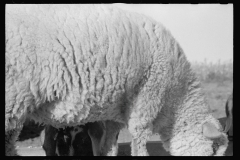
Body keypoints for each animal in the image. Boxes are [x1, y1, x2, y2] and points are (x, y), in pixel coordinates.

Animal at [5, 4, 229, 156]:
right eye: (213, 149)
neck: (176, 97)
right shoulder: (146, 100)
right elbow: (139, 142)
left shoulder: (114, 111)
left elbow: (108, 145)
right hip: (13, 98)